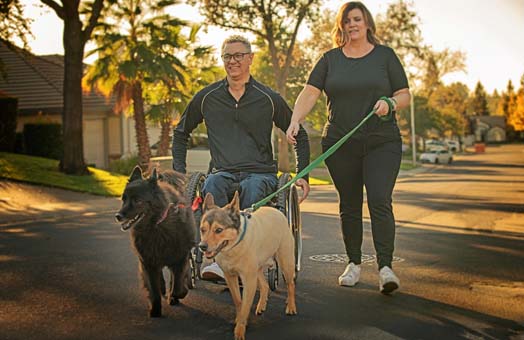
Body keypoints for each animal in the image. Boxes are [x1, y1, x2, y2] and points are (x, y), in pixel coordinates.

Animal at [115, 166, 195, 318]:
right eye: (124, 199)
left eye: (138, 200)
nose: (118, 216)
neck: (156, 226)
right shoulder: (148, 262)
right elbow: (154, 290)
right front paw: (156, 310)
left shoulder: (180, 258)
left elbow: (177, 286)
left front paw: (178, 294)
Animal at [199, 191, 296, 340]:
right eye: (202, 230)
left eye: (219, 230)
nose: (202, 246)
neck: (234, 246)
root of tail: (277, 211)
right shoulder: (230, 277)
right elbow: (239, 301)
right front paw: (240, 319)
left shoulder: (249, 280)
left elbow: (245, 305)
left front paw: (240, 329)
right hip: (257, 268)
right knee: (265, 285)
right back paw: (261, 305)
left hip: (286, 261)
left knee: (290, 284)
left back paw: (290, 306)